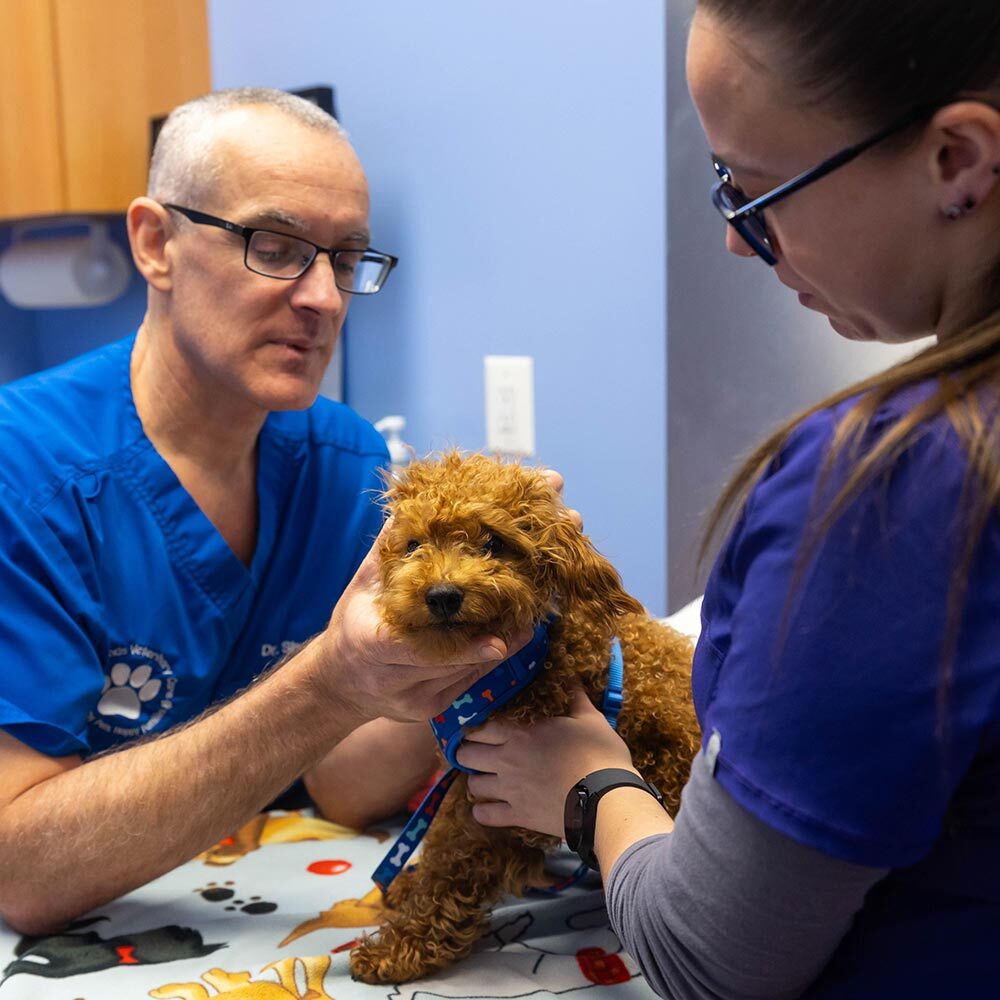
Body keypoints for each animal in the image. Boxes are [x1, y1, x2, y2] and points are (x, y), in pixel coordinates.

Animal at [352, 456, 704, 984]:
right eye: (413, 545)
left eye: (494, 542)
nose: (442, 595)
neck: (521, 669)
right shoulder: (468, 780)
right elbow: (441, 849)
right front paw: (406, 893)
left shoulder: (493, 798)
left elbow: (448, 869)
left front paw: (400, 947)